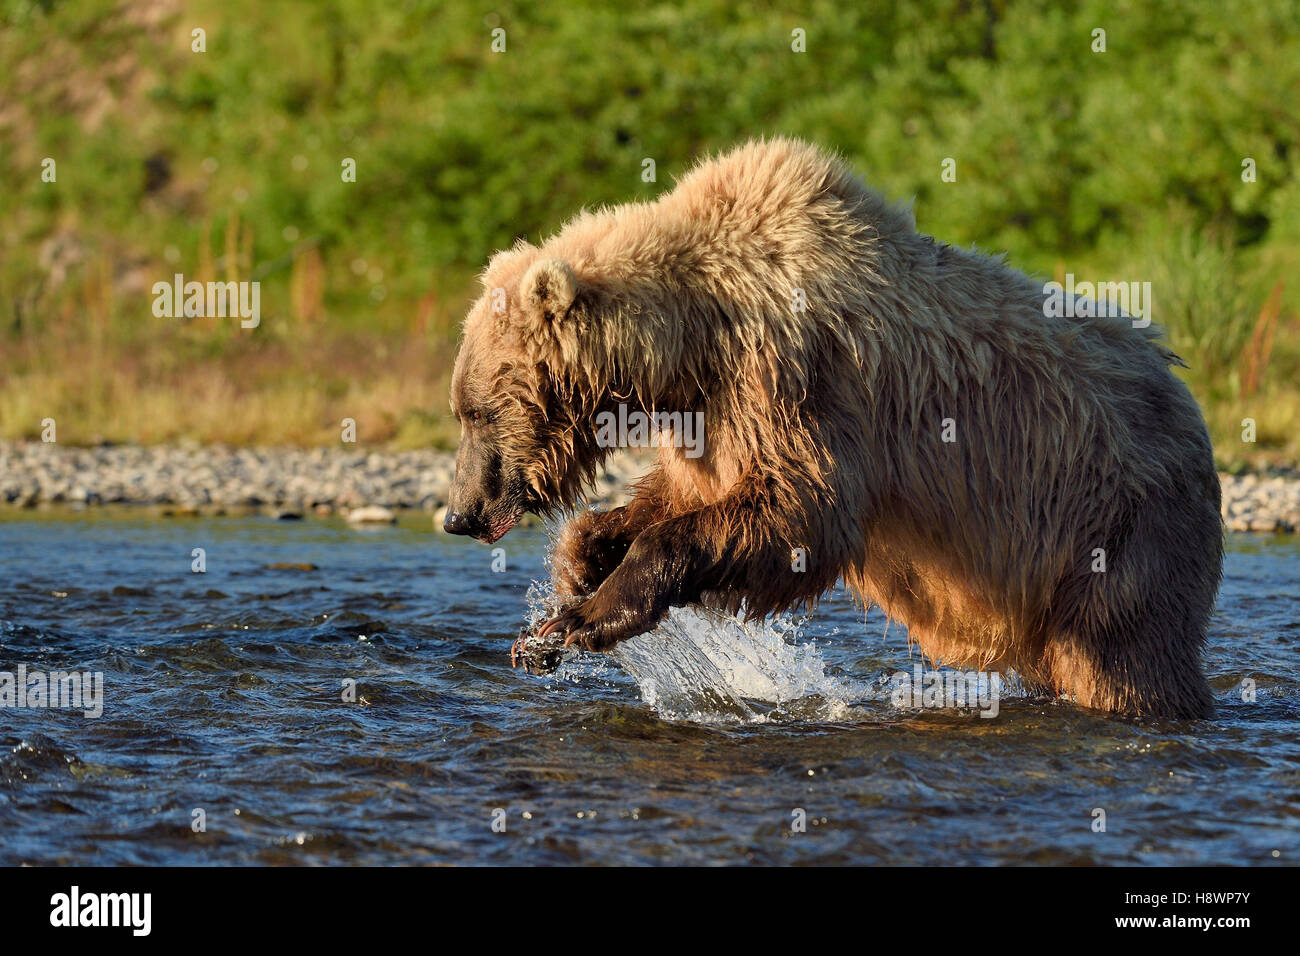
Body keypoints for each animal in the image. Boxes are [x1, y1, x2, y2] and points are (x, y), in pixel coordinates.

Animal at [444, 137, 1222, 719]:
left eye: (474, 411)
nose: (460, 514)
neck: (691, 340)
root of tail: (1185, 392)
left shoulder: (795, 376)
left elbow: (799, 509)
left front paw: (577, 621)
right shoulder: (718, 411)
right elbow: (697, 494)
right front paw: (582, 560)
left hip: (1117, 525)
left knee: (1120, 654)